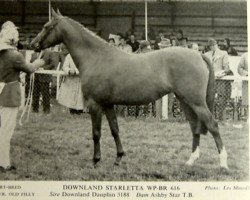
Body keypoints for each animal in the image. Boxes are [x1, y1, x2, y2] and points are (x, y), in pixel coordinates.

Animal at [30, 9, 228, 169]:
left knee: (212, 125)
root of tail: (198, 54)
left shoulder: (95, 104)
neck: (97, 57)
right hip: (186, 102)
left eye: (47, 26)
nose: (33, 45)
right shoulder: (108, 105)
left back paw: (223, 163)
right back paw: (191, 161)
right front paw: (118, 158)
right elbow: (115, 130)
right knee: (195, 127)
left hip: (196, 102)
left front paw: (96, 160)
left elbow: (96, 133)